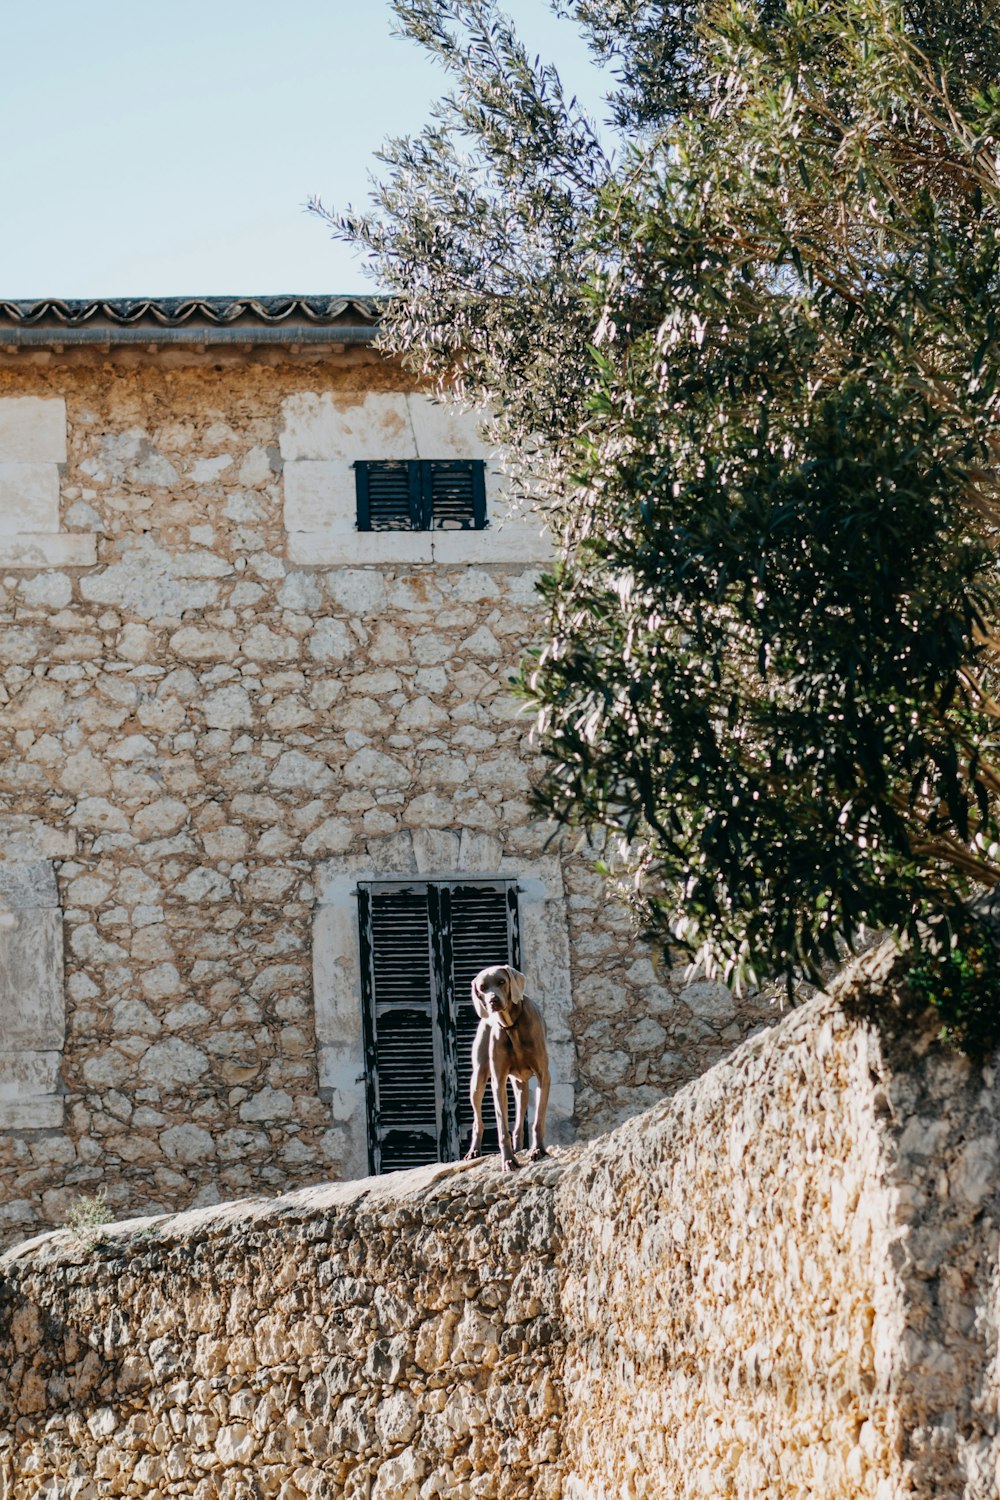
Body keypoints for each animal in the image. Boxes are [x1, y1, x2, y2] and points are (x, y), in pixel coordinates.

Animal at [464, 960, 551, 1170]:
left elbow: (538, 1121)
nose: (492, 1001)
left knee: (520, 1120)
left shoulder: (544, 1076)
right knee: (478, 1120)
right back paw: (474, 1151)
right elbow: (501, 1127)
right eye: (482, 988)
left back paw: (521, 1148)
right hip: (478, 1078)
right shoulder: (498, 1081)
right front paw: (508, 1160)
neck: (512, 1025)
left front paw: (538, 1150)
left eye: (501, 981)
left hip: (521, 1086)